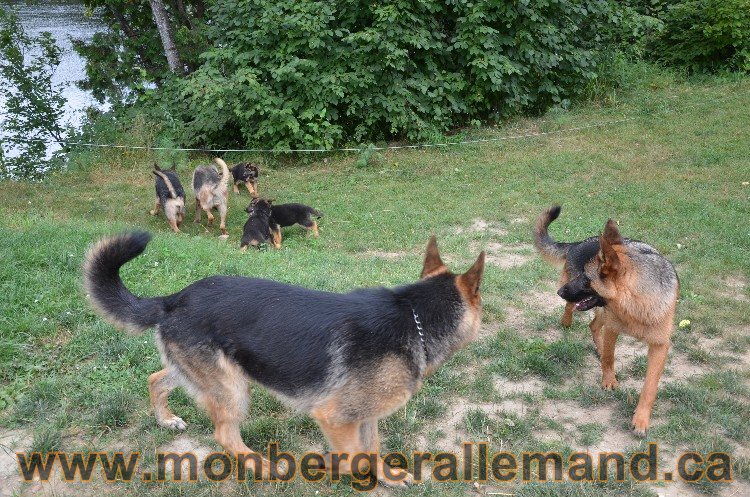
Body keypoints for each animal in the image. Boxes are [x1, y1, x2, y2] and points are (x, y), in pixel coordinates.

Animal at [83, 232, 488, 484]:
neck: (414, 317)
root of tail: (173, 299)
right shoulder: (335, 418)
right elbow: (354, 457)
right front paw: (341, 471)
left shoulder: (365, 414)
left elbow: (372, 449)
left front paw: (386, 476)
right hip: (233, 389)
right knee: (225, 435)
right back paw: (261, 465)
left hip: (205, 375)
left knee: (155, 379)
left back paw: (166, 420)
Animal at [536, 204, 680, 434]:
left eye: (586, 279)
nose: (559, 292)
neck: (637, 307)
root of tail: (579, 243)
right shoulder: (613, 328)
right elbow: (609, 358)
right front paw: (608, 380)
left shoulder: (659, 346)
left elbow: (649, 386)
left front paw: (641, 419)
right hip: (595, 309)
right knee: (573, 310)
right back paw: (567, 323)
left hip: (598, 310)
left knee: (592, 324)